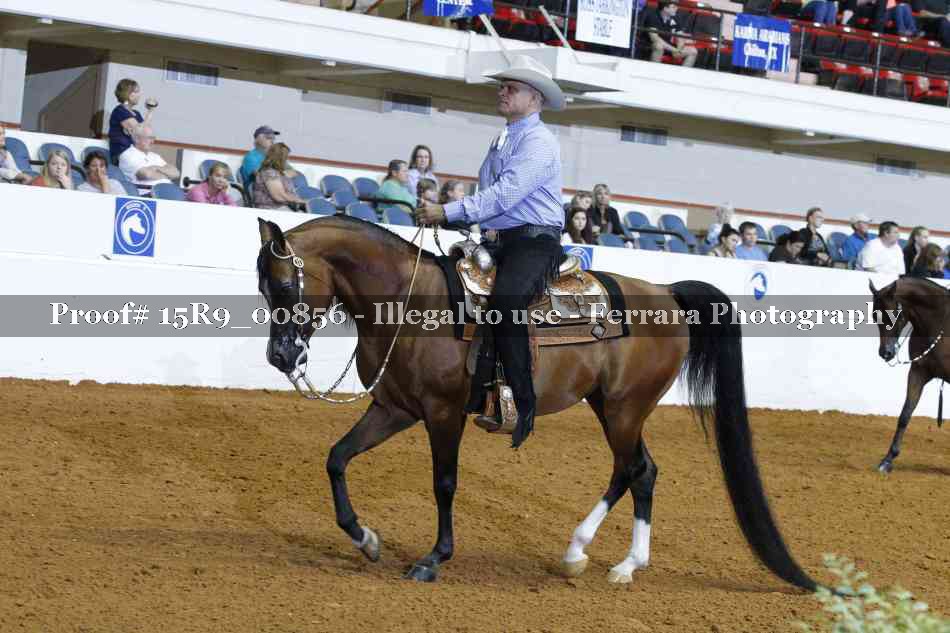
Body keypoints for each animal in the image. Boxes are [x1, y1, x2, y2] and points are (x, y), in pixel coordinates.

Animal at [255, 214, 818, 590]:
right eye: (262, 286)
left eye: (283, 284)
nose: (280, 356)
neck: (410, 303)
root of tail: (667, 292)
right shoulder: (395, 408)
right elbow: (337, 458)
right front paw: (365, 538)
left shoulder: (442, 413)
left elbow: (444, 484)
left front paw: (433, 558)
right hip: (609, 406)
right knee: (636, 471)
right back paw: (588, 556)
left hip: (624, 408)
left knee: (637, 470)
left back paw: (618, 563)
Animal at [869, 276, 949, 473]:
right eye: (874, 316)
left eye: (893, 314)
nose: (886, 352)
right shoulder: (918, 372)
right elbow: (905, 414)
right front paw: (887, 460)